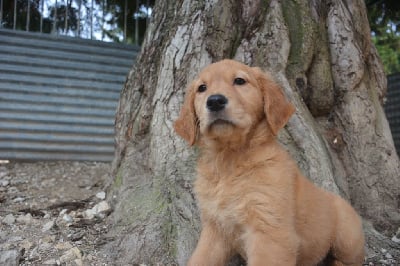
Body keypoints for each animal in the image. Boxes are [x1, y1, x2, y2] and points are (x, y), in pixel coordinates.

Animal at [173, 59, 364, 264]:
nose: (215, 101)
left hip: (347, 237)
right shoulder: (215, 228)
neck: (229, 160)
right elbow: (200, 259)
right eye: (202, 88)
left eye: (240, 81)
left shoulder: (269, 230)